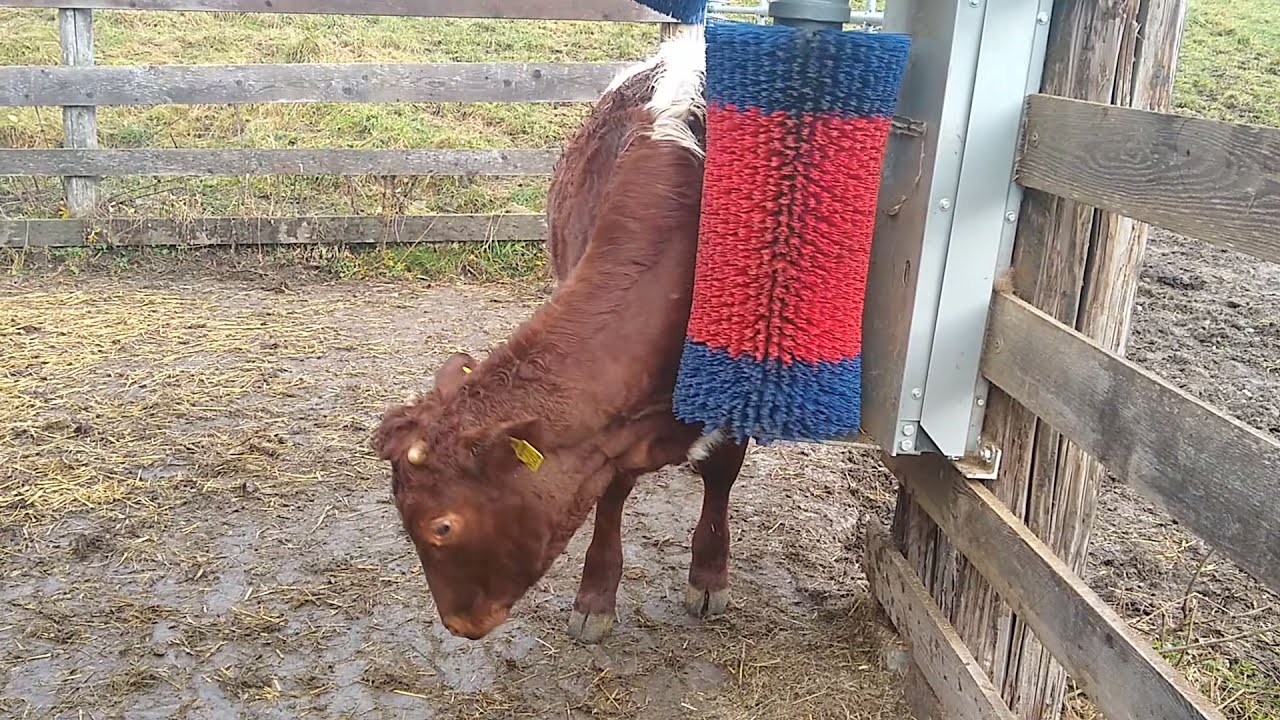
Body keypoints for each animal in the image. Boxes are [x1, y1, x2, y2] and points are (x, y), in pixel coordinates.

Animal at [372, 32, 746, 645]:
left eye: (442, 526)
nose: (458, 624)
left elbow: (722, 470)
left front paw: (710, 574)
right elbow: (611, 488)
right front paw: (596, 595)